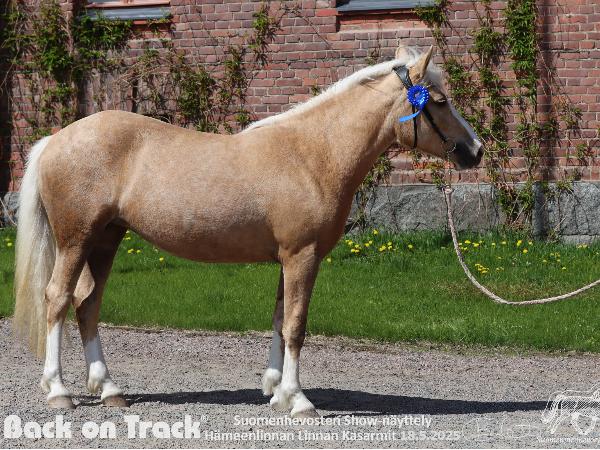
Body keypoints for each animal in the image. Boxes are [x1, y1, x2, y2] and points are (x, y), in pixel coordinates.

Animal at [13, 44, 482, 417]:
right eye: (440, 101)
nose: (475, 150)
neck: (314, 153)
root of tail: (56, 139)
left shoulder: (289, 258)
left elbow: (278, 318)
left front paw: (276, 392)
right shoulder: (303, 255)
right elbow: (296, 325)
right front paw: (300, 401)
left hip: (107, 239)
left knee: (87, 305)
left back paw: (109, 389)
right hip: (76, 239)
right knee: (58, 299)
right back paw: (58, 391)